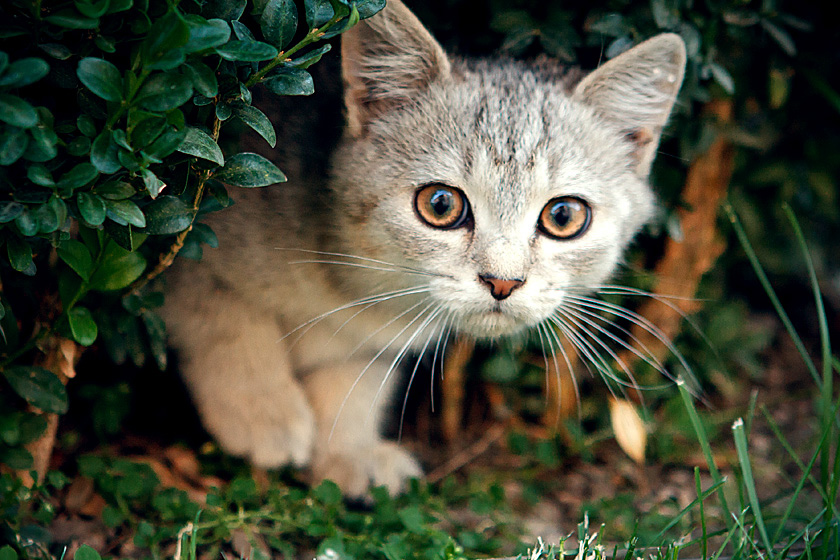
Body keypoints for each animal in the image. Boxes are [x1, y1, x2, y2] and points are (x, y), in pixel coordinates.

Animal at [161, 0, 684, 494]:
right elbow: (225, 320)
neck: (348, 285)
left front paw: (349, 450)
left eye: (563, 216)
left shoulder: (371, 339)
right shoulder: (196, 237)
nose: (503, 282)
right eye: (440, 204)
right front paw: (262, 409)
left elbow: (353, 379)